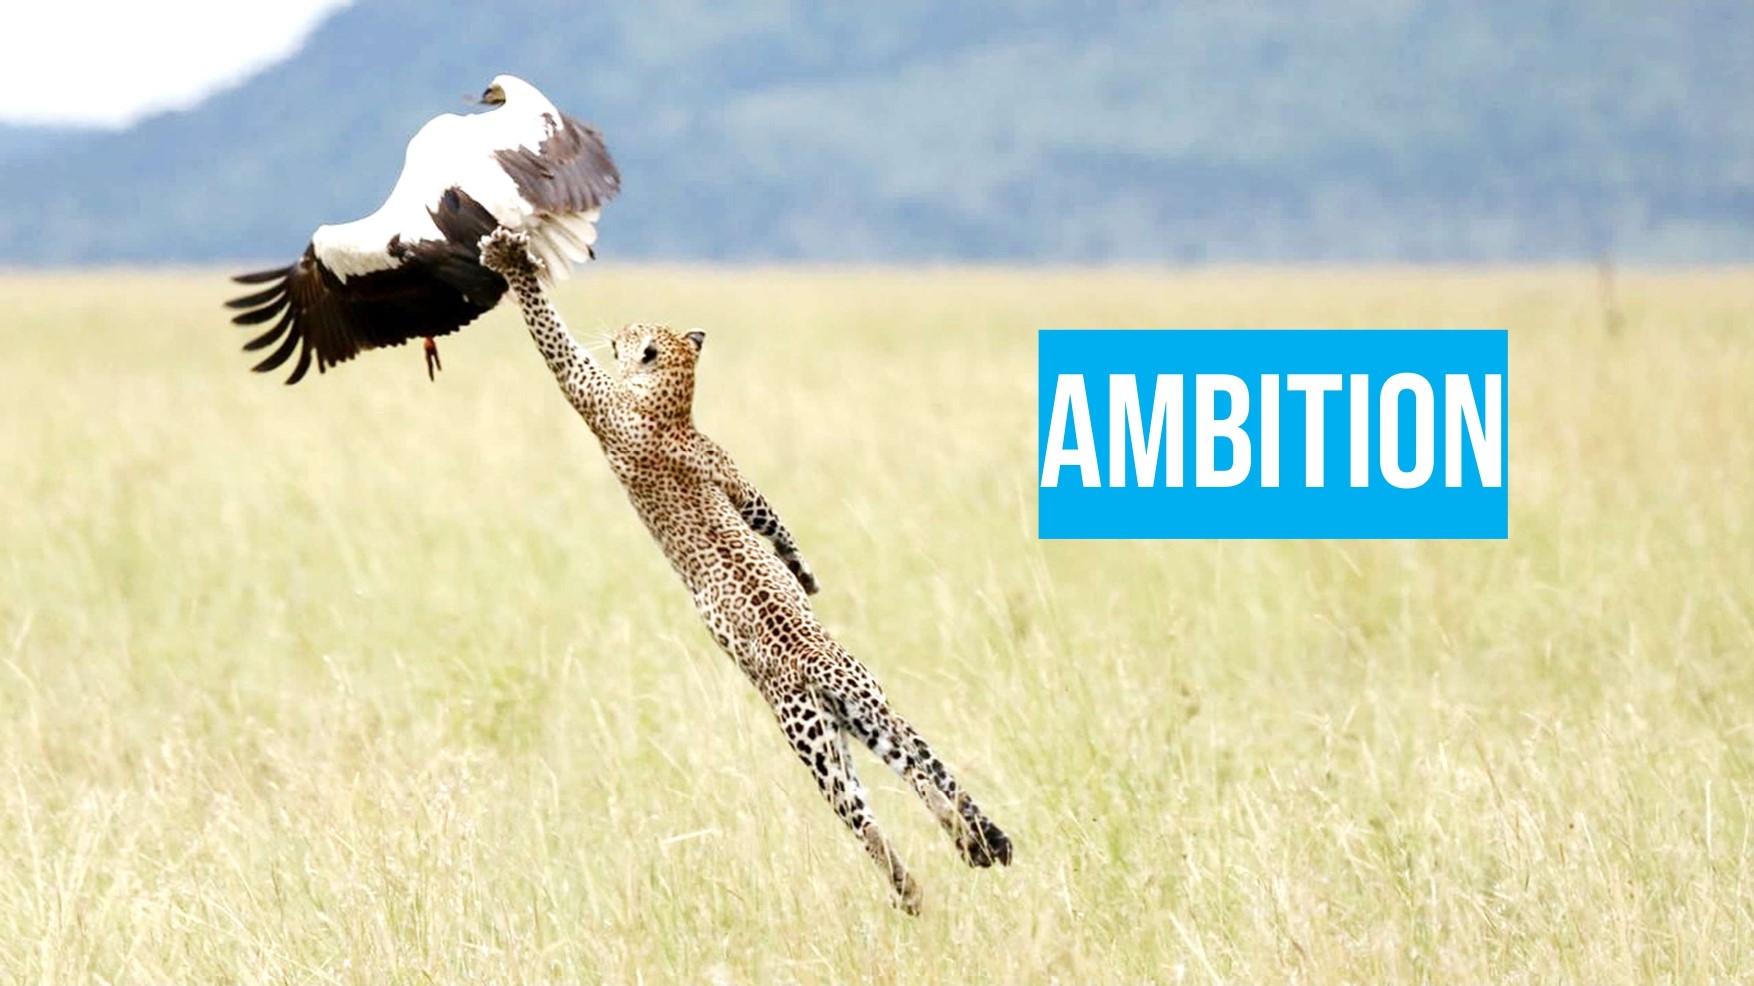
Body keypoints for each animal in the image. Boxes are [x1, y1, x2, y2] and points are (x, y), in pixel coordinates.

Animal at [476, 227, 1011, 914]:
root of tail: (822, 664)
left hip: (809, 737)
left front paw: (512, 262)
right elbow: (769, 518)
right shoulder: (727, 471)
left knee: (869, 818)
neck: (673, 404)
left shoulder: (593, 396)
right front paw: (805, 577)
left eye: (632, 332)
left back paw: (913, 889)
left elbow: (554, 339)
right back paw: (974, 844)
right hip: (858, 718)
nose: (617, 329)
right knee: (920, 770)